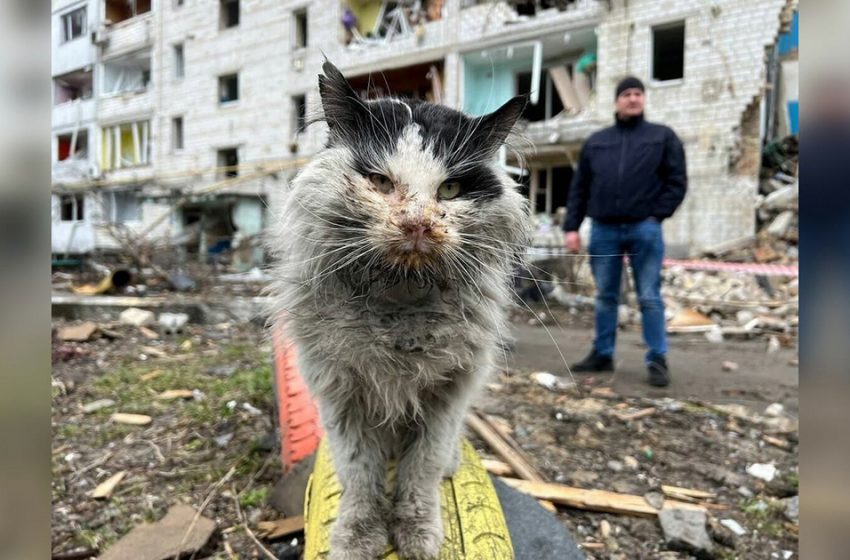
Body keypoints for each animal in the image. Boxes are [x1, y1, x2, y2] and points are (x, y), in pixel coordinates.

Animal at [268, 61, 528, 560]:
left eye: (450, 188)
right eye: (380, 182)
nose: (418, 224)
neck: (399, 310)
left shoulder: (447, 396)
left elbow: (420, 472)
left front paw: (418, 534)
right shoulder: (341, 397)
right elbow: (360, 478)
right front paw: (358, 537)